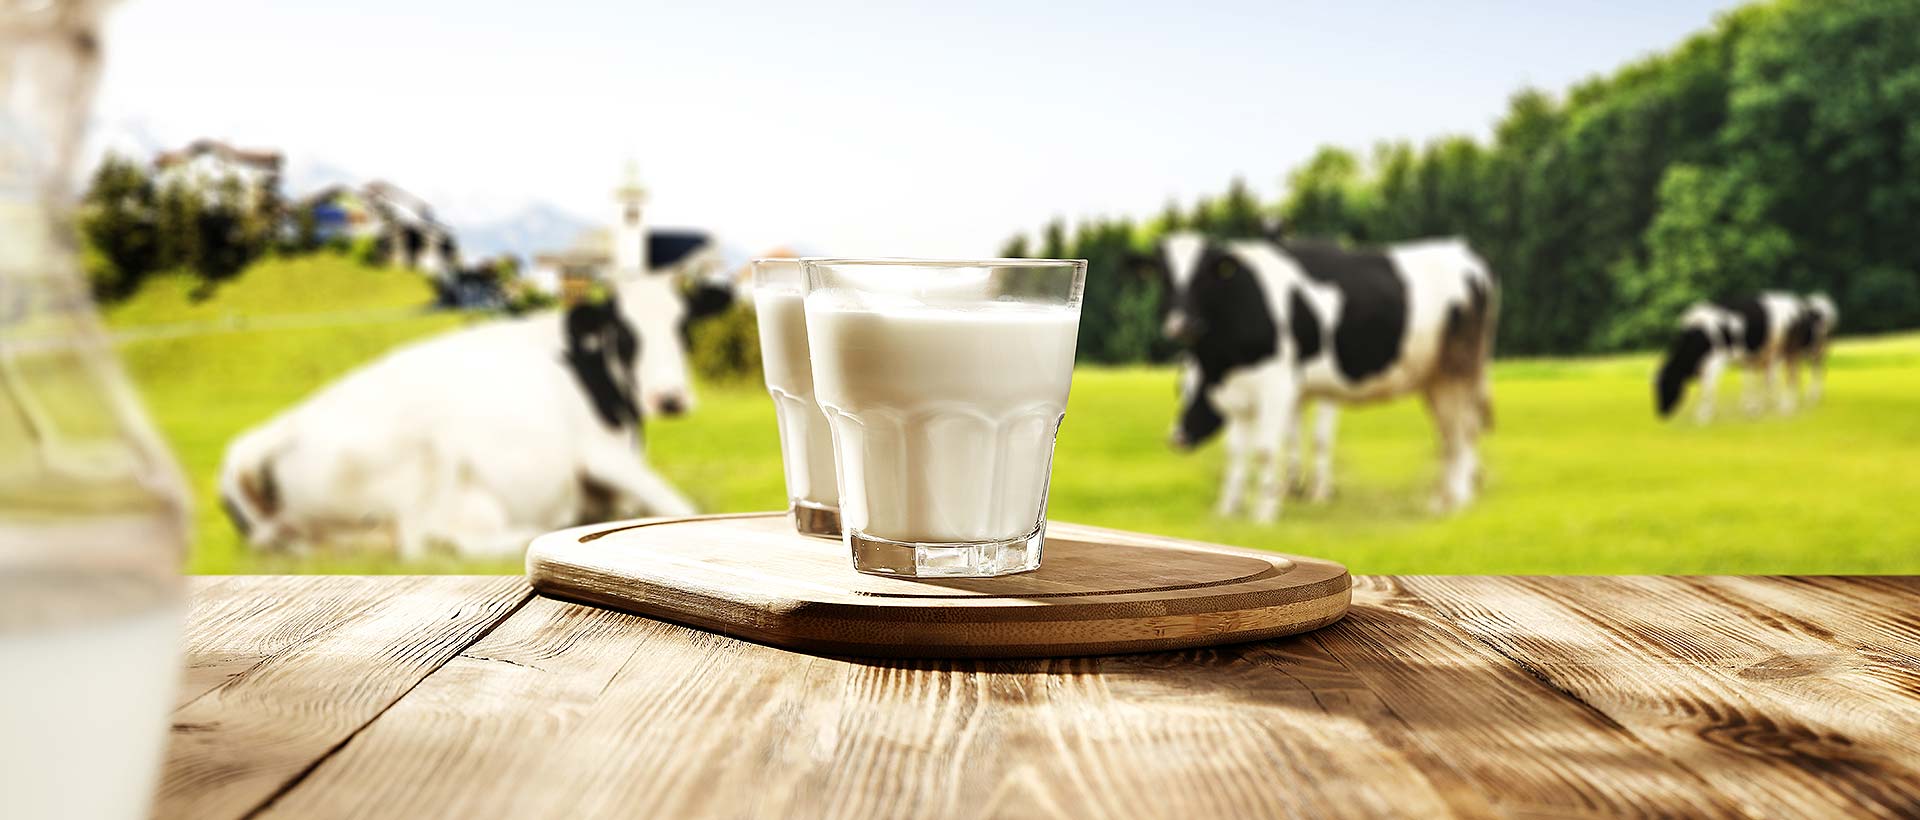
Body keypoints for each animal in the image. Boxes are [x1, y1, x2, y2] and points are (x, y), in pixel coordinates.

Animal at [220, 266, 729, 560]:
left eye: (684, 325)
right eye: (623, 332)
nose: (669, 397)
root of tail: (278, 429)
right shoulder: (600, 455)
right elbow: (683, 509)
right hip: (431, 451)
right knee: (426, 541)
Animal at [1152, 234, 1497, 522]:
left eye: (1203, 277)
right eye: (1165, 278)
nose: (1176, 437)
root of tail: (1461, 251)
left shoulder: (1284, 385)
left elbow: (1277, 447)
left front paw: (1270, 511)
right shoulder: (1247, 393)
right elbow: (1243, 451)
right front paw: (1233, 509)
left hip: (1461, 371)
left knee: (1464, 429)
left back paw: (1460, 500)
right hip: (1436, 380)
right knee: (1448, 433)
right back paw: (1443, 501)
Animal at [1658, 289, 1835, 424]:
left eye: (1667, 385)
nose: (1661, 413)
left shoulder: (1715, 361)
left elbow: (1708, 387)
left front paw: (1703, 416)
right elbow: (1745, 381)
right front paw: (1747, 408)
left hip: (1796, 350)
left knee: (1795, 375)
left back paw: (1791, 405)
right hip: (1779, 353)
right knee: (1783, 376)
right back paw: (1775, 405)